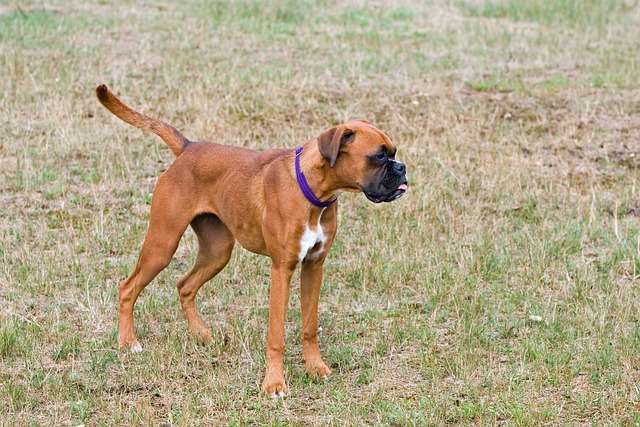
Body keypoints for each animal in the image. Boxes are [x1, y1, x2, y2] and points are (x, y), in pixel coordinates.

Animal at [94, 84, 408, 398]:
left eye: (392, 153)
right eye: (379, 157)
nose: (402, 167)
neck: (311, 189)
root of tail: (188, 147)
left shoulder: (314, 266)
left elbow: (309, 326)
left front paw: (315, 368)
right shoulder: (282, 269)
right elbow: (276, 335)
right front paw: (274, 383)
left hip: (217, 252)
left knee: (184, 286)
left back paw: (200, 334)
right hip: (163, 244)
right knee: (128, 287)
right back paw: (128, 343)